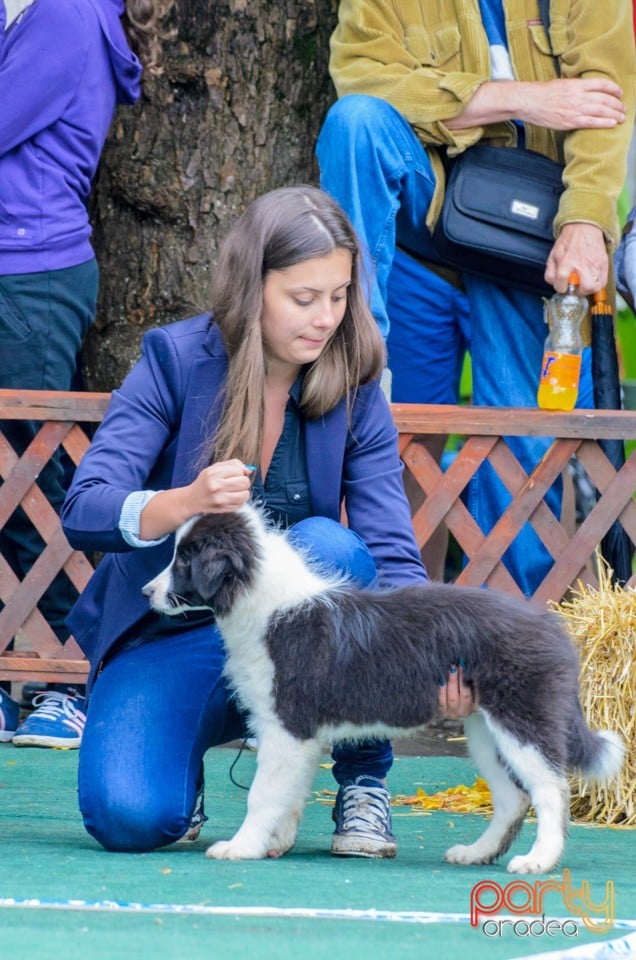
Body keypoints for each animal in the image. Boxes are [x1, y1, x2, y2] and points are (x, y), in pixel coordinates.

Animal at [142, 506, 624, 872]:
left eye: (184, 561)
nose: (147, 591)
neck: (268, 606)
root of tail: (554, 628)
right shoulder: (299, 735)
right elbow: (289, 793)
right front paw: (274, 843)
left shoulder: (286, 725)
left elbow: (262, 793)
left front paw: (242, 847)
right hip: (483, 729)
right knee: (512, 798)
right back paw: (475, 853)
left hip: (522, 718)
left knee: (549, 791)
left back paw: (538, 861)